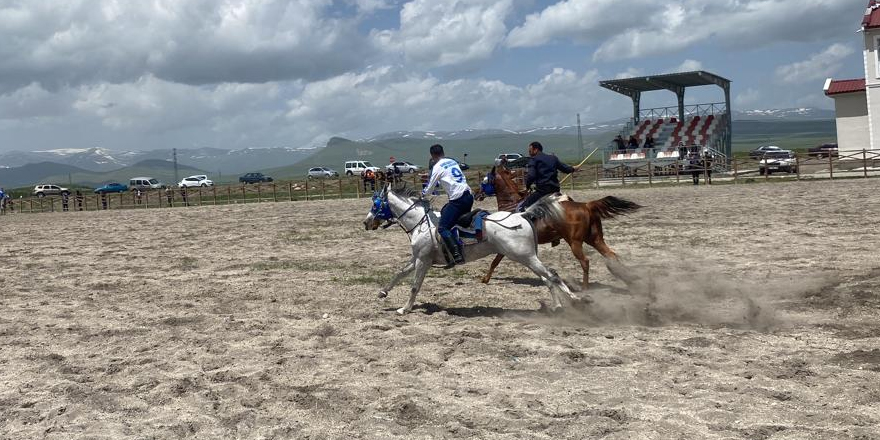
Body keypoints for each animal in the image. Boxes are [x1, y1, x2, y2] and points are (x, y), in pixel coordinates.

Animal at [360, 181, 588, 312]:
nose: (366, 222)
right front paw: (382, 293)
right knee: (547, 278)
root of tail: (522, 214)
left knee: (552, 275)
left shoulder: (423, 260)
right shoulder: (417, 258)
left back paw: (576, 300)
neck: (421, 222)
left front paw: (404, 309)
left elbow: (415, 285)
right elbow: (399, 273)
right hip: (527, 257)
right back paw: (558, 305)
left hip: (524, 256)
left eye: (375, 204)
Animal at [482, 165, 640, 288]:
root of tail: (586, 205)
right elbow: (495, 261)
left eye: (485, 181)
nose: (478, 193)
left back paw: (585, 287)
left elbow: (494, 262)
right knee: (611, 255)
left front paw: (485, 279)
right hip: (594, 239)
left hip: (575, 242)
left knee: (585, 262)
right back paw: (628, 280)